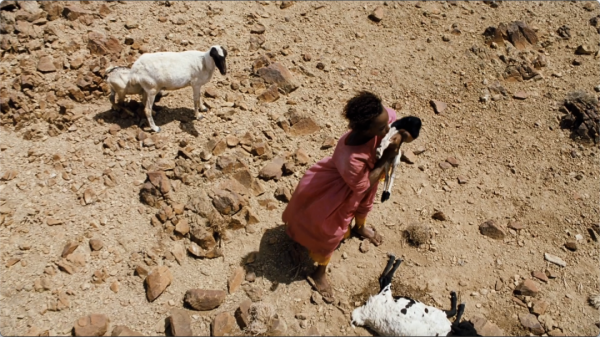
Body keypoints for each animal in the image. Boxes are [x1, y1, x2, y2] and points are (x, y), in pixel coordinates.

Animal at [350, 253, 480, 334]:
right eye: (470, 327)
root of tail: (364, 313)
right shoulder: (440, 314)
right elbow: (454, 313)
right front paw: (458, 302)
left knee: (383, 279)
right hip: (387, 294)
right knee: (386, 279)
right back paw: (396, 260)